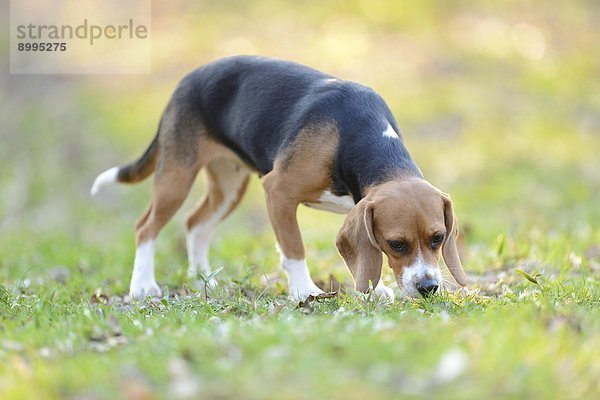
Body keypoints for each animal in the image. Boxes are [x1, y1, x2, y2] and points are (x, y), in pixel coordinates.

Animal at [91, 55, 468, 300]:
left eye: (438, 238)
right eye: (396, 244)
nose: (428, 288)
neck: (357, 135)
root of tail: (189, 77)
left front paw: (373, 291)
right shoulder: (279, 192)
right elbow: (294, 248)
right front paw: (305, 291)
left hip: (229, 186)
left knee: (196, 224)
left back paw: (203, 280)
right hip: (176, 176)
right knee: (146, 227)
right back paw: (142, 286)